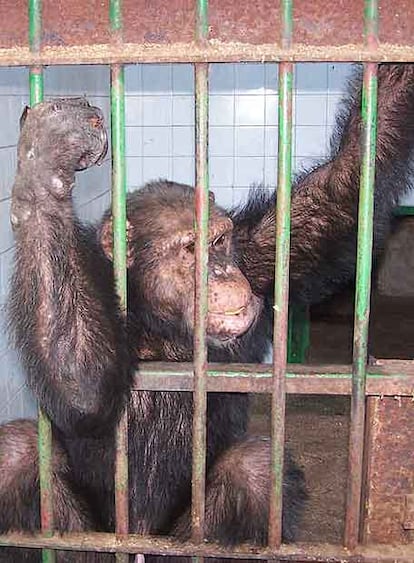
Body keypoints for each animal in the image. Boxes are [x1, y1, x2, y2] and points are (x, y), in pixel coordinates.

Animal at [0, 62, 414, 563]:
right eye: (189, 249)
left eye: (218, 241)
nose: (221, 272)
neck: (161, 323)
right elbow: (82, 386)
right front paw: (47, 157)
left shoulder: (259, 254)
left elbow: (343, 186)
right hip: (97, 538)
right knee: (17, 453)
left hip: (181, 540)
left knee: (255, 469)